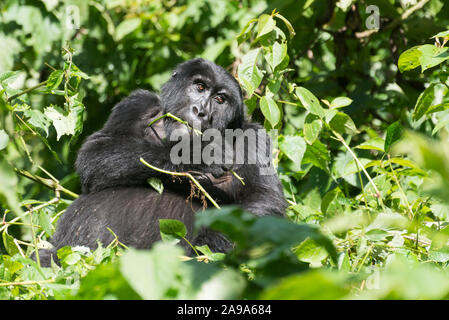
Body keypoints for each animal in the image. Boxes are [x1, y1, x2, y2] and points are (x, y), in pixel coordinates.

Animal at [36, 58, 286, 266]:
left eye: (220, 99)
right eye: (200, 87)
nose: (201, 112)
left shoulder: (255, 137)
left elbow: (264, 201)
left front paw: (206, 244)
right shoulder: (138, 102)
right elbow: (96, 151)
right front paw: (198, 153)